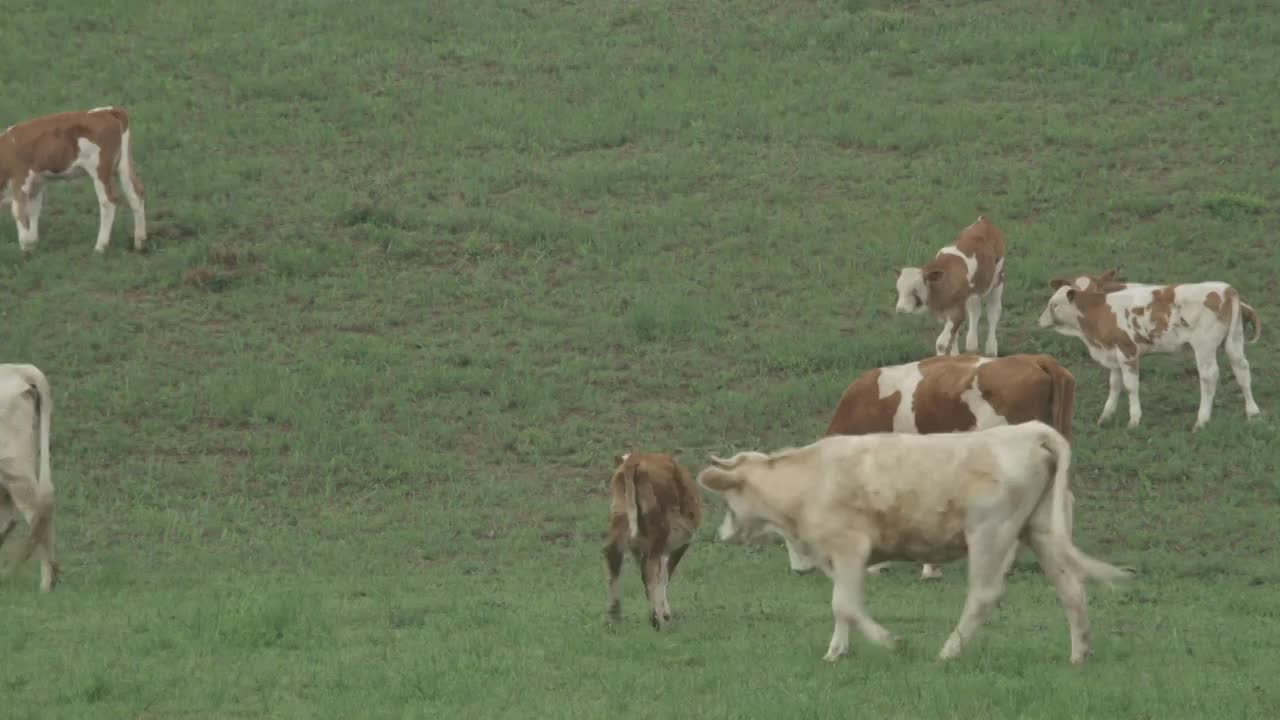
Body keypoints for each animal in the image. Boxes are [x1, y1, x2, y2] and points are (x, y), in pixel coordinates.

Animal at [601, 450, 701, 630]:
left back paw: (613, 617)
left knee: (613, 557)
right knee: (651, 569)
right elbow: (664, 575)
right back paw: (658, 621)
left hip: (620, 517)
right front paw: (663, 615)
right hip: (659, 533)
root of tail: (635, 459)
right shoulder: (680, 543)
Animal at [701, 422, 1131, 666]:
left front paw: (892, 642)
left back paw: (948, 652)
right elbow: (842, 606)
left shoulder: (851, 547)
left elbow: (844, 604)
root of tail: (1032, 431)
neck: (808, 482)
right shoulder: (837, 558)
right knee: (1071, 590)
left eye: (726, 501)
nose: (721, 534)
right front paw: (836, 652)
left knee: (983, 596)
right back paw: (1079, 655)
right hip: (1041, 531)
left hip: (990, 532)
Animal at [896, 213, 1003, 356]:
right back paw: (972, 346)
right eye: (898, 290)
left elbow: (941, 343)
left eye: (915, 290)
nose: (900, 309)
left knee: (993, 312)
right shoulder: (949, 311)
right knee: (975, 310)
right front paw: (955, 357)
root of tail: (983, 221)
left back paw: (991, 350)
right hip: (973, 293)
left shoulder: (956, 312)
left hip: (998, 281)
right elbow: (953, 337)